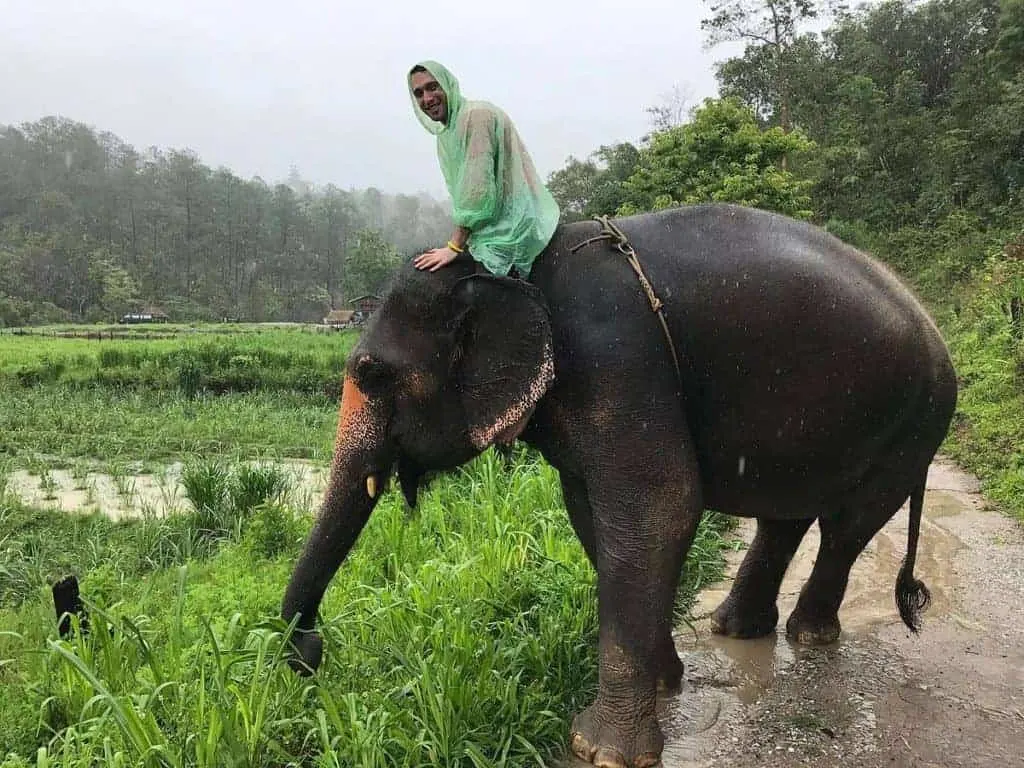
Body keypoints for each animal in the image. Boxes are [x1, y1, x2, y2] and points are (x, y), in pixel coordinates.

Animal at [278, 202, 950, 768]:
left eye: (372, 372)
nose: (311, 651)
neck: (514, 271)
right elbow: (590, 511)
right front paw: (665, 680)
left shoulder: (616, 359)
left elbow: (659, 505)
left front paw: (602, 750)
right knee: (786, 514)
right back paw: (736, 629)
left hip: (914, 426)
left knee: (846, 526)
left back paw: (807, 636)